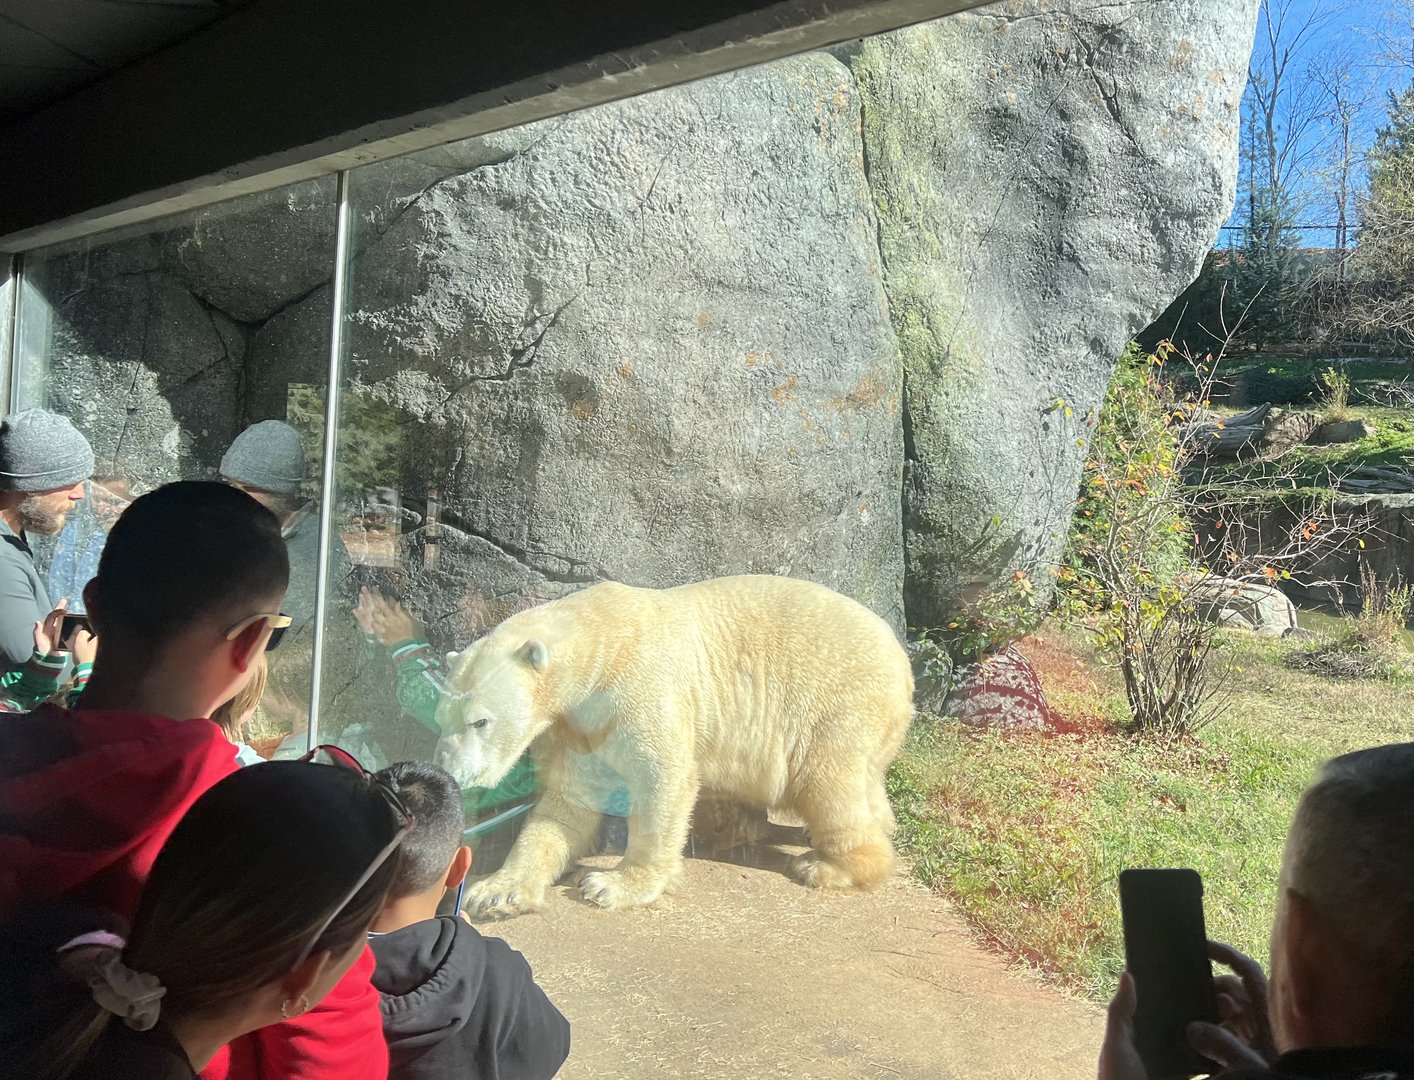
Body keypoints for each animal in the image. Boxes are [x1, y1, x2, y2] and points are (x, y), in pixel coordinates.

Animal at [434, 574, 915, 916]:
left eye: (481, 720)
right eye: (443, 719)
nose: (452, 775)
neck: (600, 643)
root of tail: (903, 662)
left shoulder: (640, 685)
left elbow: (662, 777)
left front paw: (611, 885)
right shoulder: (582, 722)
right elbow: (567, 803)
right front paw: (496, 892)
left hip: (835, 703)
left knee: (828, 784)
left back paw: (826, 865)